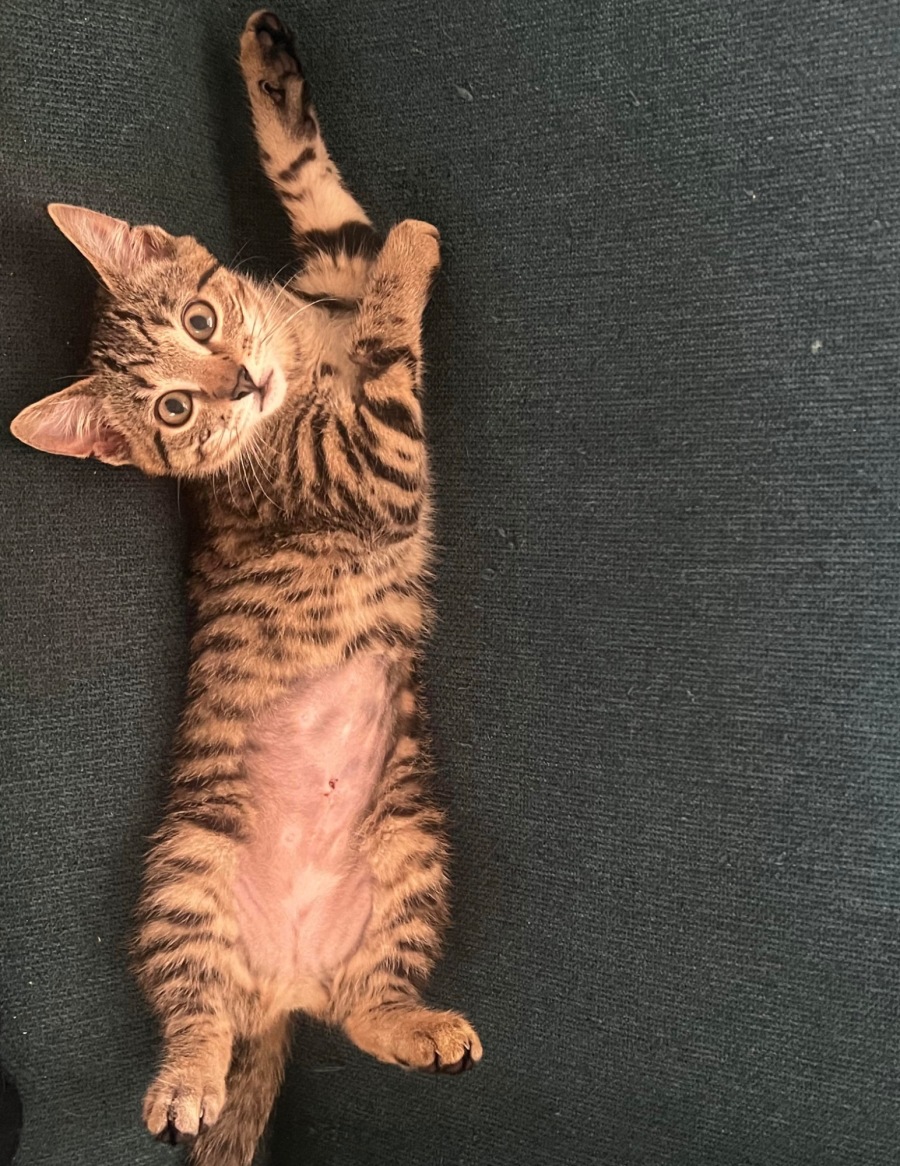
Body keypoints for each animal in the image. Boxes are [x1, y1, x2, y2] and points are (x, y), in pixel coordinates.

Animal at [10, 10, 482, 1165]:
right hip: (186, 864)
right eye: (174, 411)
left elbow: (321, 198)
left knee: (362, 1008)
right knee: (198, 1006)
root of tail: (288, 983)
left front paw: (267, 64)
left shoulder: (328, 278)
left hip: (412, 843)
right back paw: (184, 1082)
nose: (241, 383)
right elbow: (387, 343)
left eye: (201, 319)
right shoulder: (367, 464)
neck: (307, 358)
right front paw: (411, 253)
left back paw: (420, 1025)